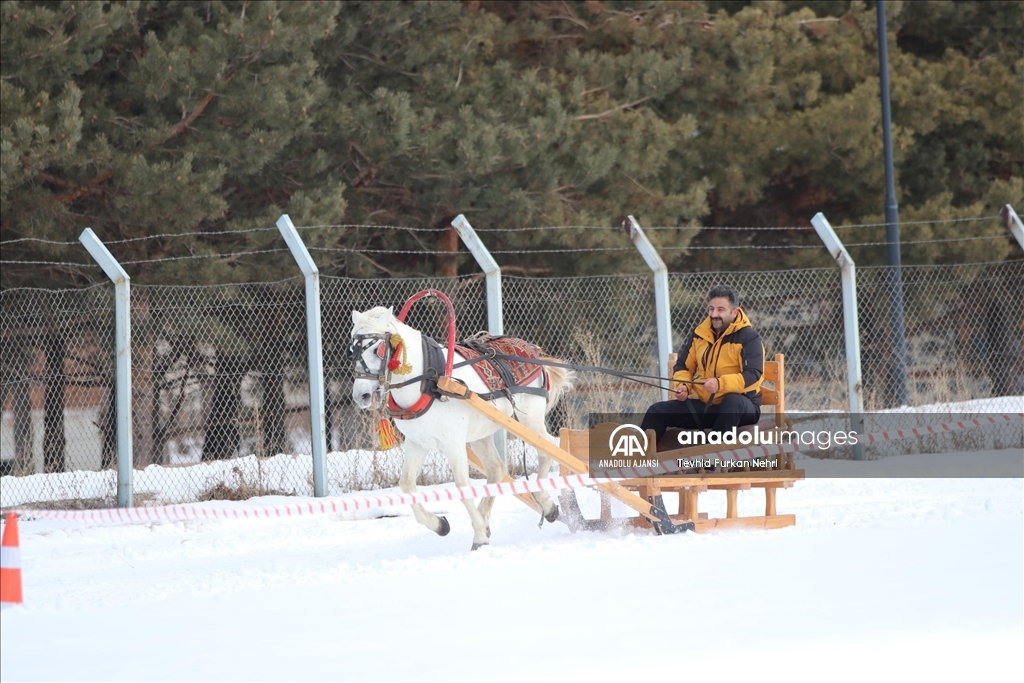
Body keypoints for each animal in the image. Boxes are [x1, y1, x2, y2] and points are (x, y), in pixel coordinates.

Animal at [350, 307, 577, 552]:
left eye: (377, 349)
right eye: (352, 350)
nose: (361, 395)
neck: (429, 380)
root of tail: (532, 351)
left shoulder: (454, 444)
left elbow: (461, 486)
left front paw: (479, 534)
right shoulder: (417, 442)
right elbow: (407, 485)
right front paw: (441, 525)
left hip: (529, 420)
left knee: (547, 448)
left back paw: (546, 504)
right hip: (481, 433)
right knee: (496, 468)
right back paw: (487, 516)